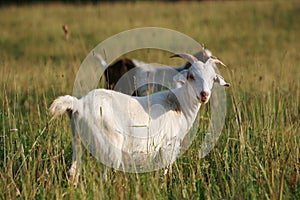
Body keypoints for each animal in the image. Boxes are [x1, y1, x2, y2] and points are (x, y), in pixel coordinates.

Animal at [49, 52, 230, 184]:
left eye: (213, 78)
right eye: (191, 76)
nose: (204, 94)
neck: (179, 104)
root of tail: (78, 104)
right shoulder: (168, 147)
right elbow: (165, 172)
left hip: (78, 142)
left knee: (73, 172)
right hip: (110, 147)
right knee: (104, 176)